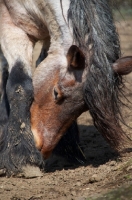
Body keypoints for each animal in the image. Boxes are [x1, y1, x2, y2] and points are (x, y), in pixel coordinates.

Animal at [0, 0, 132, 176]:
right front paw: (22, 157)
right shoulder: (11, 26)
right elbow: (19, 85)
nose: (42, 147)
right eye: (56, 93)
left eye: (84, 108)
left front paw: (68, 150)